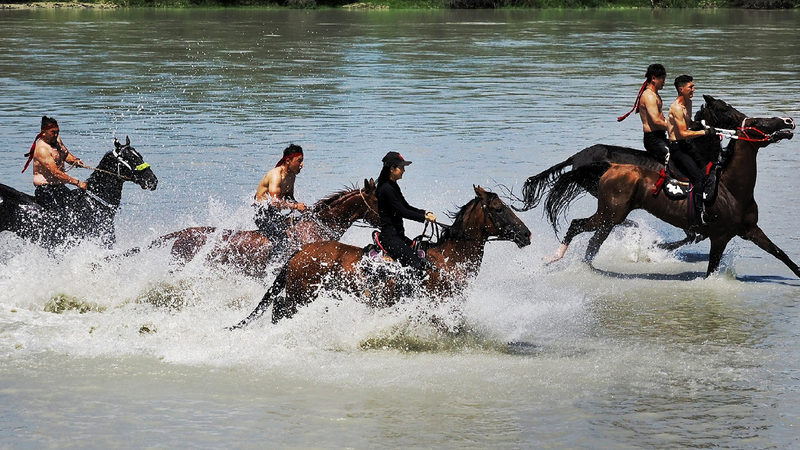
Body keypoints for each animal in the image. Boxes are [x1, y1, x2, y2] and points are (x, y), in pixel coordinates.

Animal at [231, 186, 532, 328]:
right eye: (499, 208)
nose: (527, 234)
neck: (447, 260)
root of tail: (299, 251)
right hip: (299, 295)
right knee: (279, 308)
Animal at [530, 96, 796, 278]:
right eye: (724, 108)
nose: (788, 121)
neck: (729, 188)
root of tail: (578, 158)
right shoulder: (718, 235)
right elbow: (697, 246)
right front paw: (654, 248)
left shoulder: (747, 229)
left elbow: (780, 253)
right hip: (609, 211)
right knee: (585, 228)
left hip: (609, 212)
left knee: (595, 240)